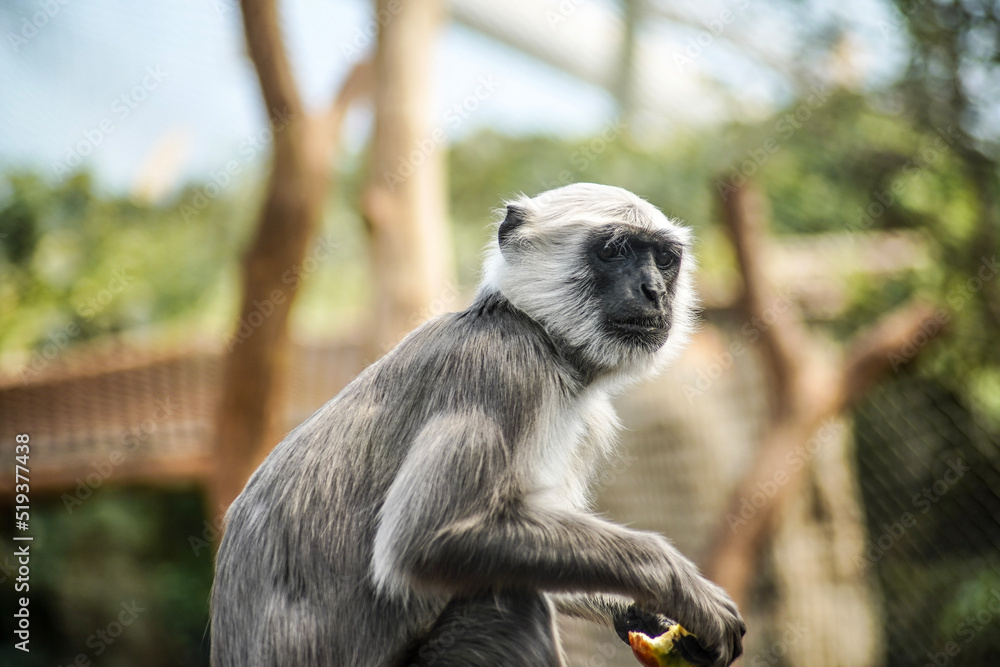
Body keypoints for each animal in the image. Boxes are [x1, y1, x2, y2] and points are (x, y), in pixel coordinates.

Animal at [210, 183, 745, 667]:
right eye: (614, 251)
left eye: (665, 259)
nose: (653, 291)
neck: (532, 330)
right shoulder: (501, 367)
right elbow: (425, 541)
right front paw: (681, 583)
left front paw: (650, 615)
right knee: (510, 605)